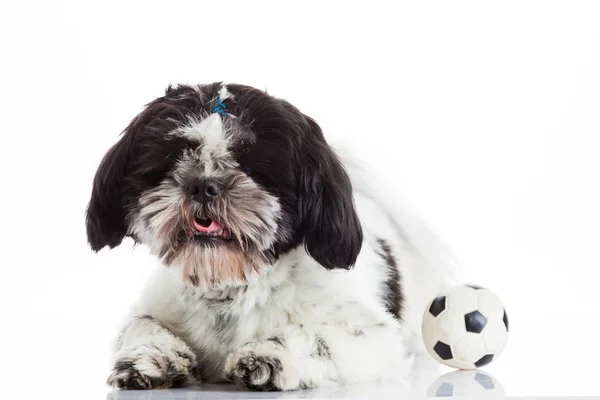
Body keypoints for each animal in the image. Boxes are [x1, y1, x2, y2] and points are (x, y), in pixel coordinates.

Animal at [86, 82, 454, 390]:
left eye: (250, 163)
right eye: (174, 156)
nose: (203, 185)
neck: (232, 288)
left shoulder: (373, 339)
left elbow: (315, 336)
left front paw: (269, 356)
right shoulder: (154, 307)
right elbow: (141, 325)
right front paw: (150, 358)